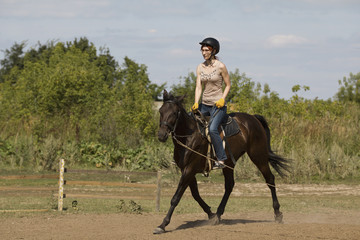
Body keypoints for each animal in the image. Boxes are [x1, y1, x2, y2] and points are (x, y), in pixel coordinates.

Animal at [154, 90, 290, 234]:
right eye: (161, 111)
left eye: (174, 113)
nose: (161, 135)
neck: (189, 136)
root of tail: (253, 118)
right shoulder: (186, 170)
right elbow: (195, 194)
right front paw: (211, 214)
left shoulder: (189, 169)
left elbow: (176, 198)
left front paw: (163, 224)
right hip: (229, 163)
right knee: (229, 185)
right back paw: (218, 214)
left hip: (258, 156)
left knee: (270, 179)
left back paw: (278, 213)